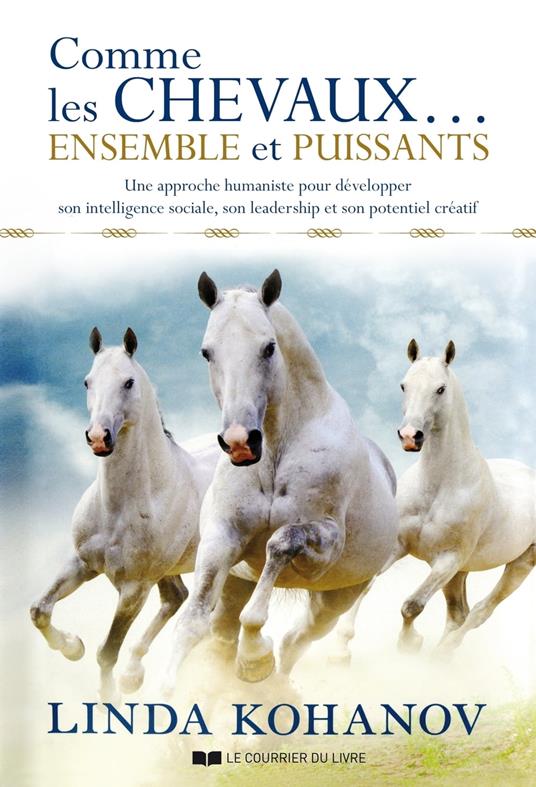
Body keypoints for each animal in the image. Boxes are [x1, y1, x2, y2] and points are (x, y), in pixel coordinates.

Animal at [30, 327, 219, 700]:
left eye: (128, 382)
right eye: (87, 382)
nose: (98, 437)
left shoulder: (134, 588)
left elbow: (107, 651)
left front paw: (108, 699)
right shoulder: (82, 563)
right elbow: (40, 611)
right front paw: (72, 646)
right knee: (176, 598)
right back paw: (133, 674)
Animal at [163, 270, 398, 689]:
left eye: (269, 347)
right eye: (207, 352)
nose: (240, 442)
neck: (276, 451)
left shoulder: (324, 545)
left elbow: (280, 545)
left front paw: (255, 657)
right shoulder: (222, 538)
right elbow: (192, 620)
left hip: (336, 598)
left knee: (294, 642)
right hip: (237, 585)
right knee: (224, 633)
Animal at [394, 339, 536, 654]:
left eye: (440, 389)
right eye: (404, 385)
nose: (410, 436)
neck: (438, 487)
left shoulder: (447, 560)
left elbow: (412, 605)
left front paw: (409, 645)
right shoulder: (398, 545)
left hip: (519, 564)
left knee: (480, 612)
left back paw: (442, 654)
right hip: (461, 572)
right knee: (460, 613)